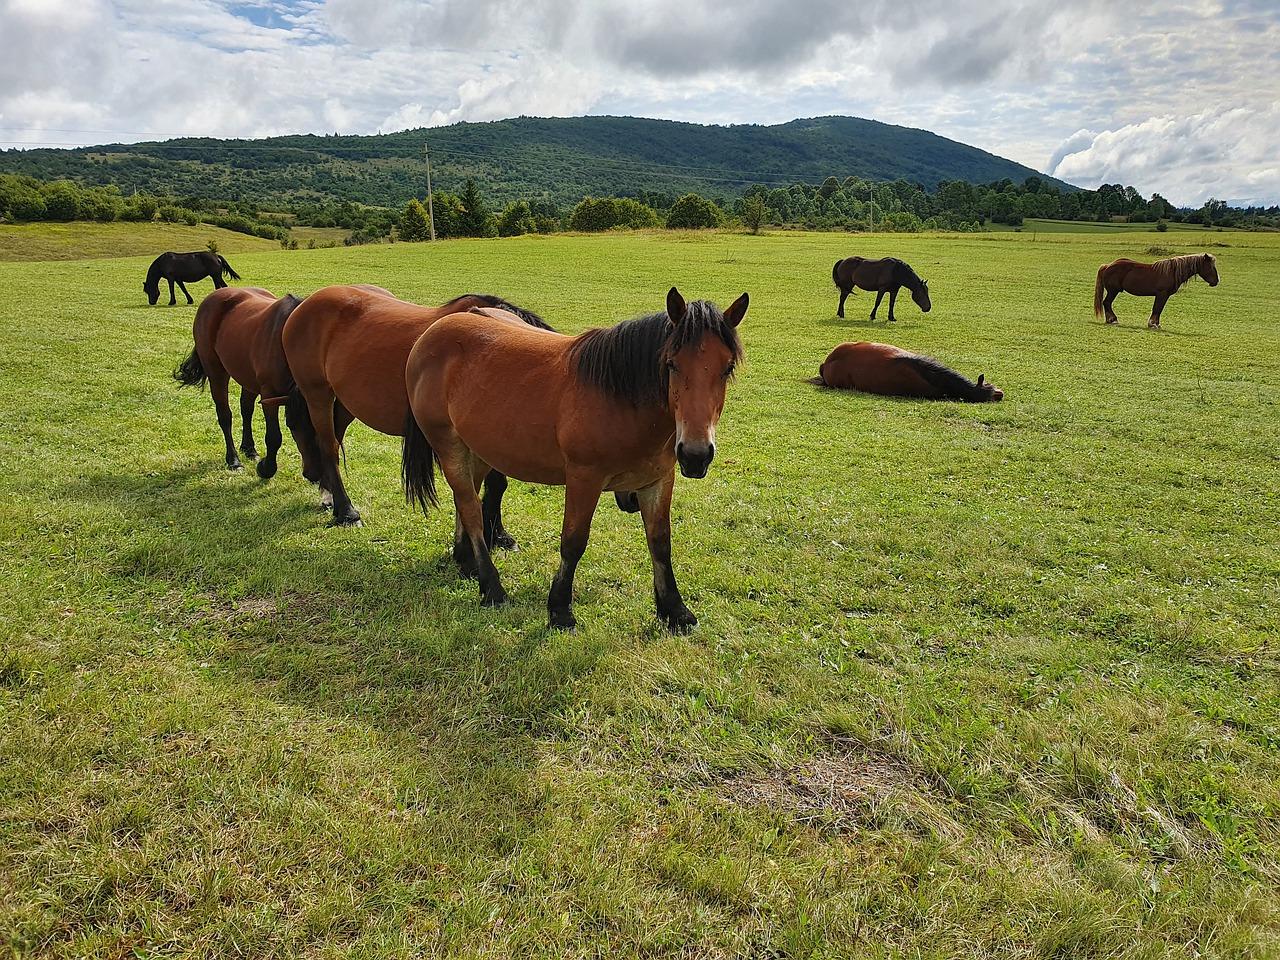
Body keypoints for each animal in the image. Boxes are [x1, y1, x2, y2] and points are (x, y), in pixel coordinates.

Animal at [172, 289, 307, 478]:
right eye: (293, 426)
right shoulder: (270, 395)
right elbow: (274, 437)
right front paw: (266, 468)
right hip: (217, 373)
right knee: (225, 416)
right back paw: (234, 460)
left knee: (246, 409)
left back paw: (249, 448)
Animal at [285, 285, 550, 542]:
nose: (309, 473)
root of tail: (306, 304)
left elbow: (498, 484)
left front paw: (499, 534)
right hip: (317, 394)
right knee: (328, 447)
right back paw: (347, 511)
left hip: (343, 402)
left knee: (334, 440)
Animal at [401, 285, 747, 632]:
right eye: (672, 364)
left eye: (727, 368)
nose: (695, 454)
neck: (622, 400)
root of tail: (433, 332)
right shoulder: (584, 479)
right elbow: (574, 542)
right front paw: (560, 609)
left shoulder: (658, 480)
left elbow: (660, 542)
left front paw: (674, 610)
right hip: (450, 446)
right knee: (472, 510)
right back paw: (492, 587)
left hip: (479, 449)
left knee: (466, 499)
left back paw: (467, 562)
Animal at [1090, 253, 1218, 330]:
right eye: (1210, 267)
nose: (1216, 281)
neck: (1172, 271)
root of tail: (1108, 265)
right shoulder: (1162, 294)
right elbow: (1157, 308)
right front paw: (1153, 324)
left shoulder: (1164, 295)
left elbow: (1159, 309)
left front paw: (1155, 324)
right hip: (1113, 291)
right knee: (1107, 303)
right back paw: (1112, 320)